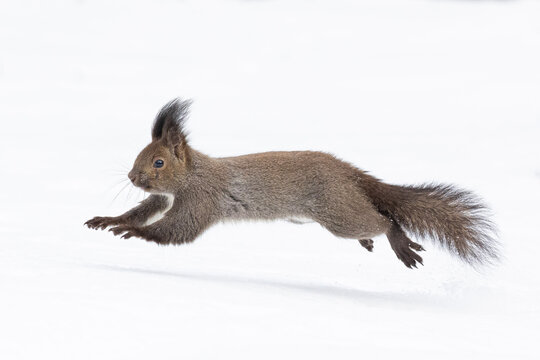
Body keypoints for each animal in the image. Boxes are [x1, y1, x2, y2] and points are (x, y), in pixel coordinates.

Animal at [85, 97, 498, 268]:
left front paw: (132, 233)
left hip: (338, 213)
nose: (132, 177)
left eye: (158, 161)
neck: (191, 174)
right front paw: (110, 221)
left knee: (383, 219)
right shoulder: (164, 198)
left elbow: (176, 230)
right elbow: (142, 211)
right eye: (140, 155)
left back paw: (396, 240)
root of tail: (348, 172)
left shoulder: (202, 199)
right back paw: (370, 242)